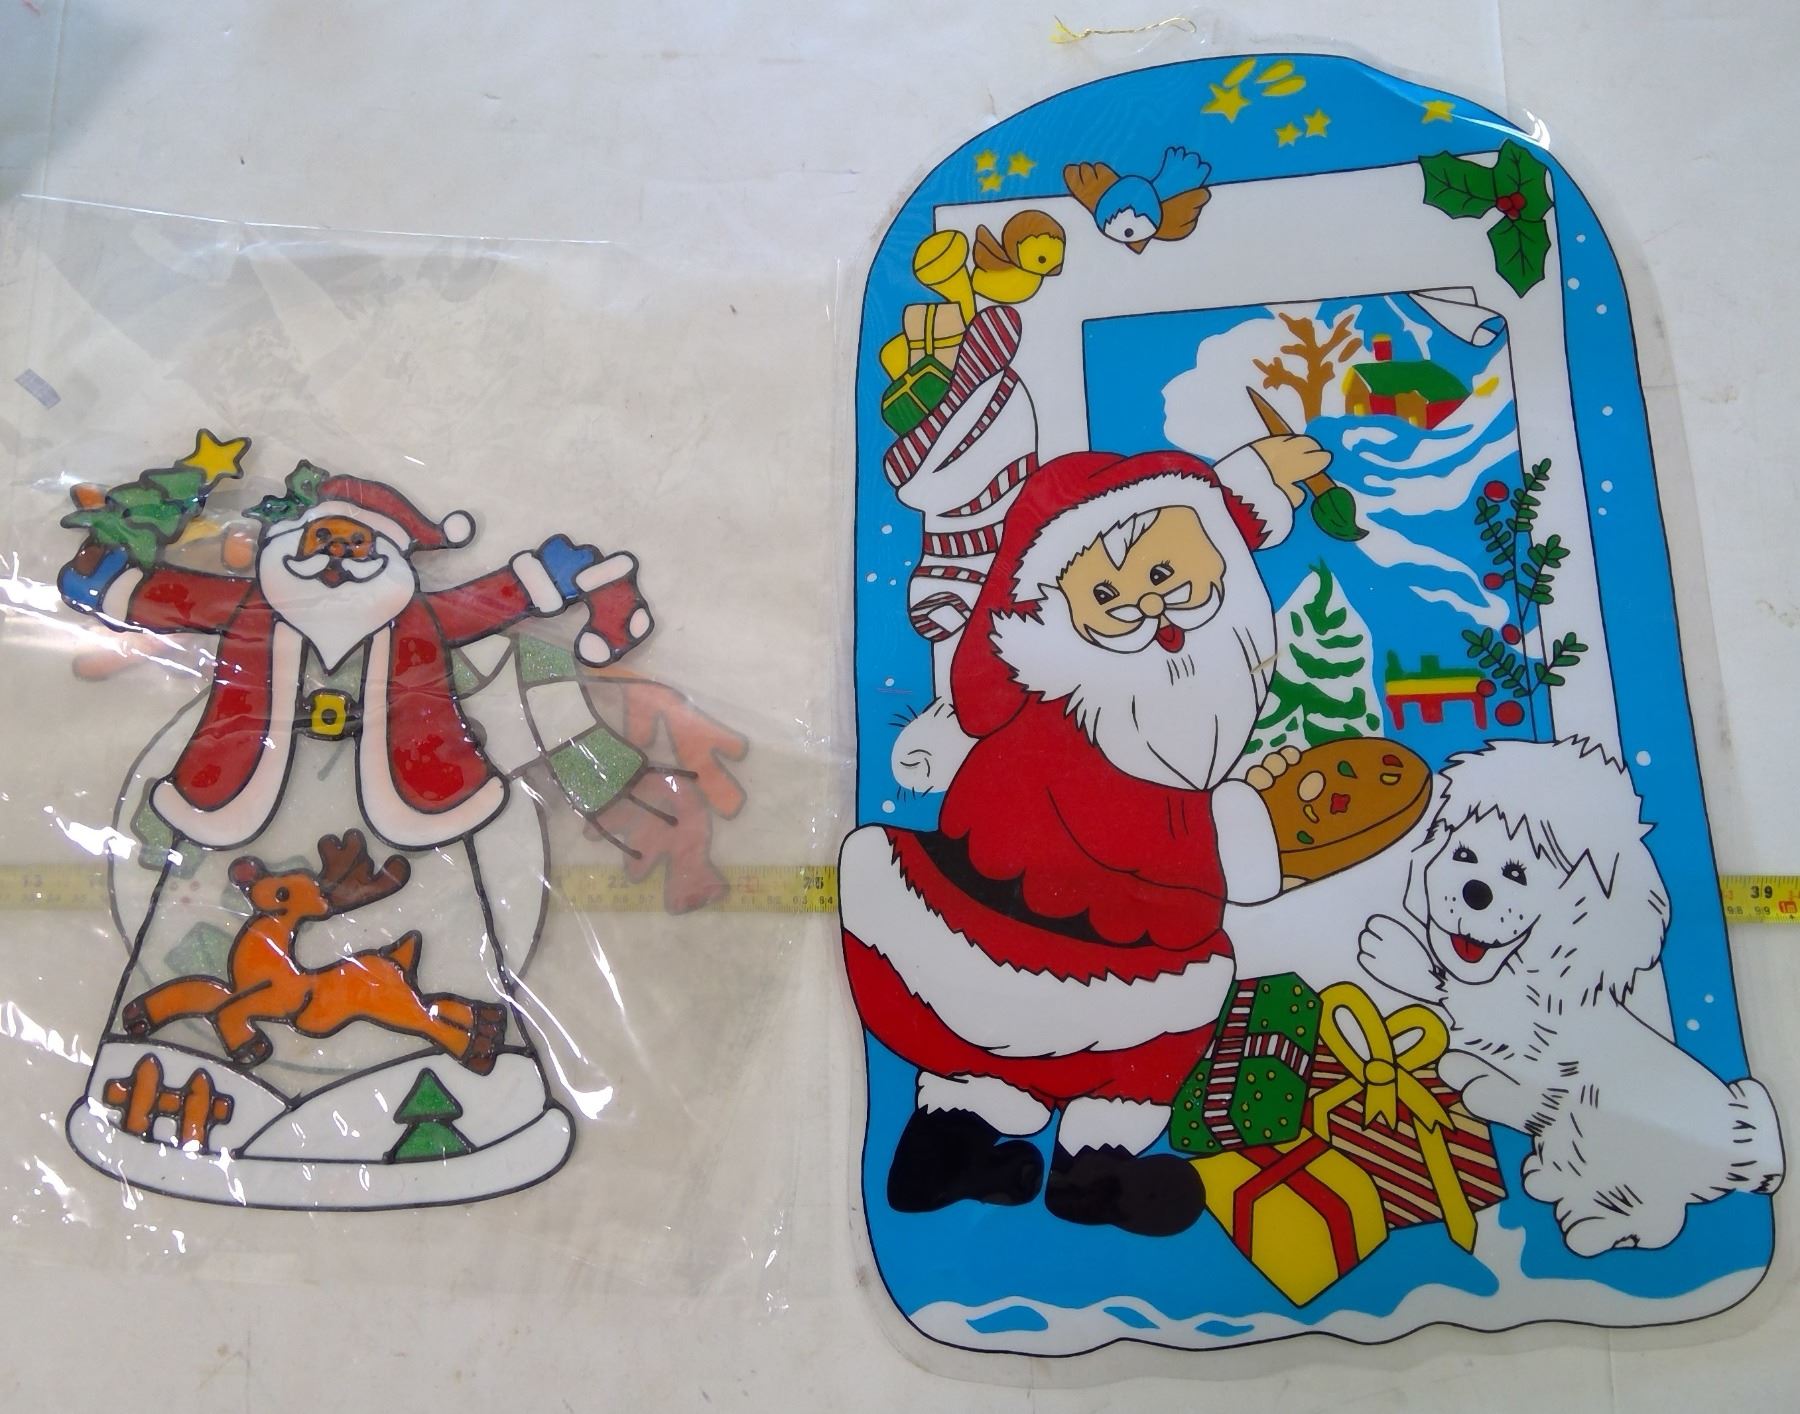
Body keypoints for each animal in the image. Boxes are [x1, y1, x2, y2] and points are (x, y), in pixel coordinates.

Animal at [122, 830, 508, 1074]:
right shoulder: (232, 986)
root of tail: (398, 955)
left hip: (392, 1005)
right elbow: (199, 991)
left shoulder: (279, 999)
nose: (246, 872)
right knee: (443, 1006)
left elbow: (226, 1008)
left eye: (283, 893)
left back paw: (477, 1048)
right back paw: (488, 1028)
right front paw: (138, 1014)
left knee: (430, 1020)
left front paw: (249, 1048)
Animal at [1357, 736, 1783, 1256]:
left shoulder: (1539, 1044)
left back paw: (1594, 1230)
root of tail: (1741, 1135)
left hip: (1646, 1172)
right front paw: (1394, 955)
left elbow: (1488, 1043)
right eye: (1463, 854)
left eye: (1517, 873)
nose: (1474, 890)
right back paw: (1550, 1179)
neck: (1520, 974)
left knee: (1662, 1221)